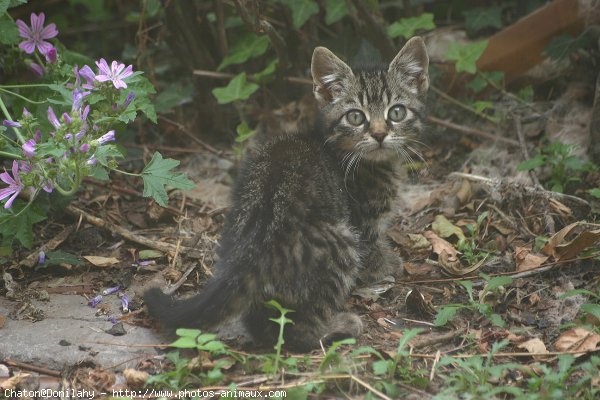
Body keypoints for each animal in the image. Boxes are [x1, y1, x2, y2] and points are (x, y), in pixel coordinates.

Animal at [144, 36, 428, 350]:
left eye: (396, 112)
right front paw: (389, 263)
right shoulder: (363, 223)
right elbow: (373, 251)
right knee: (297, 331)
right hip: (340, 241)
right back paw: (339, 326)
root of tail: (253, 245)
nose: (379, 134)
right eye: (355, 117)